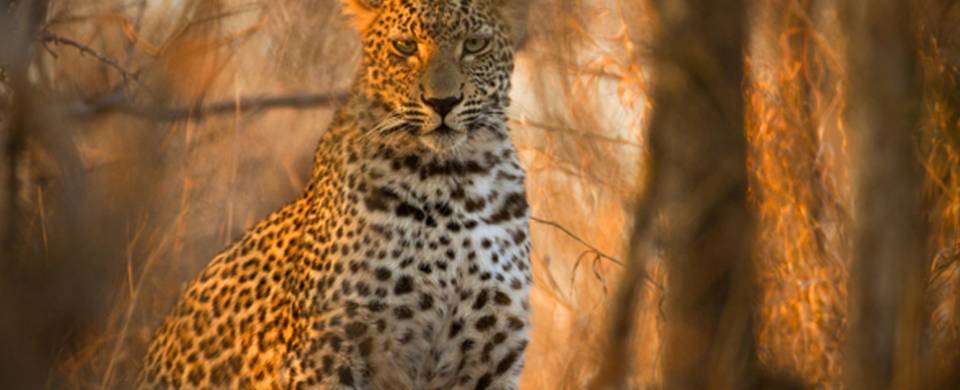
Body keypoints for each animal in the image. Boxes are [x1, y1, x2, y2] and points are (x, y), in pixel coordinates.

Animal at [141, 0, 532, 388]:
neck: (456, 182)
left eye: (475, 44)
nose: (443, 102)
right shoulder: (326, 356)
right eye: (404, 46)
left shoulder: (491, 360)